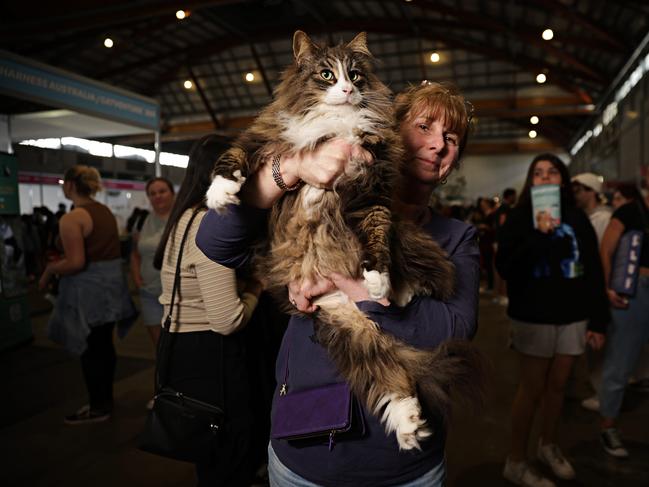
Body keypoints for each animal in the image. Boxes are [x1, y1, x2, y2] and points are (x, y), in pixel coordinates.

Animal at [205, 30, 484, 450]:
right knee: (386, 373)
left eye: (354, 74)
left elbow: (376, 235)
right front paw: (220, 194)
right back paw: (409, 425)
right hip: (351, 333)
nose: (348, 89)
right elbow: (232, 155)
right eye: (326, 74)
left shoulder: (373, 189)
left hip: (410, 242)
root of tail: (341, 306)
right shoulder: (264, 136)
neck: (336, 123)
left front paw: (377, 279)